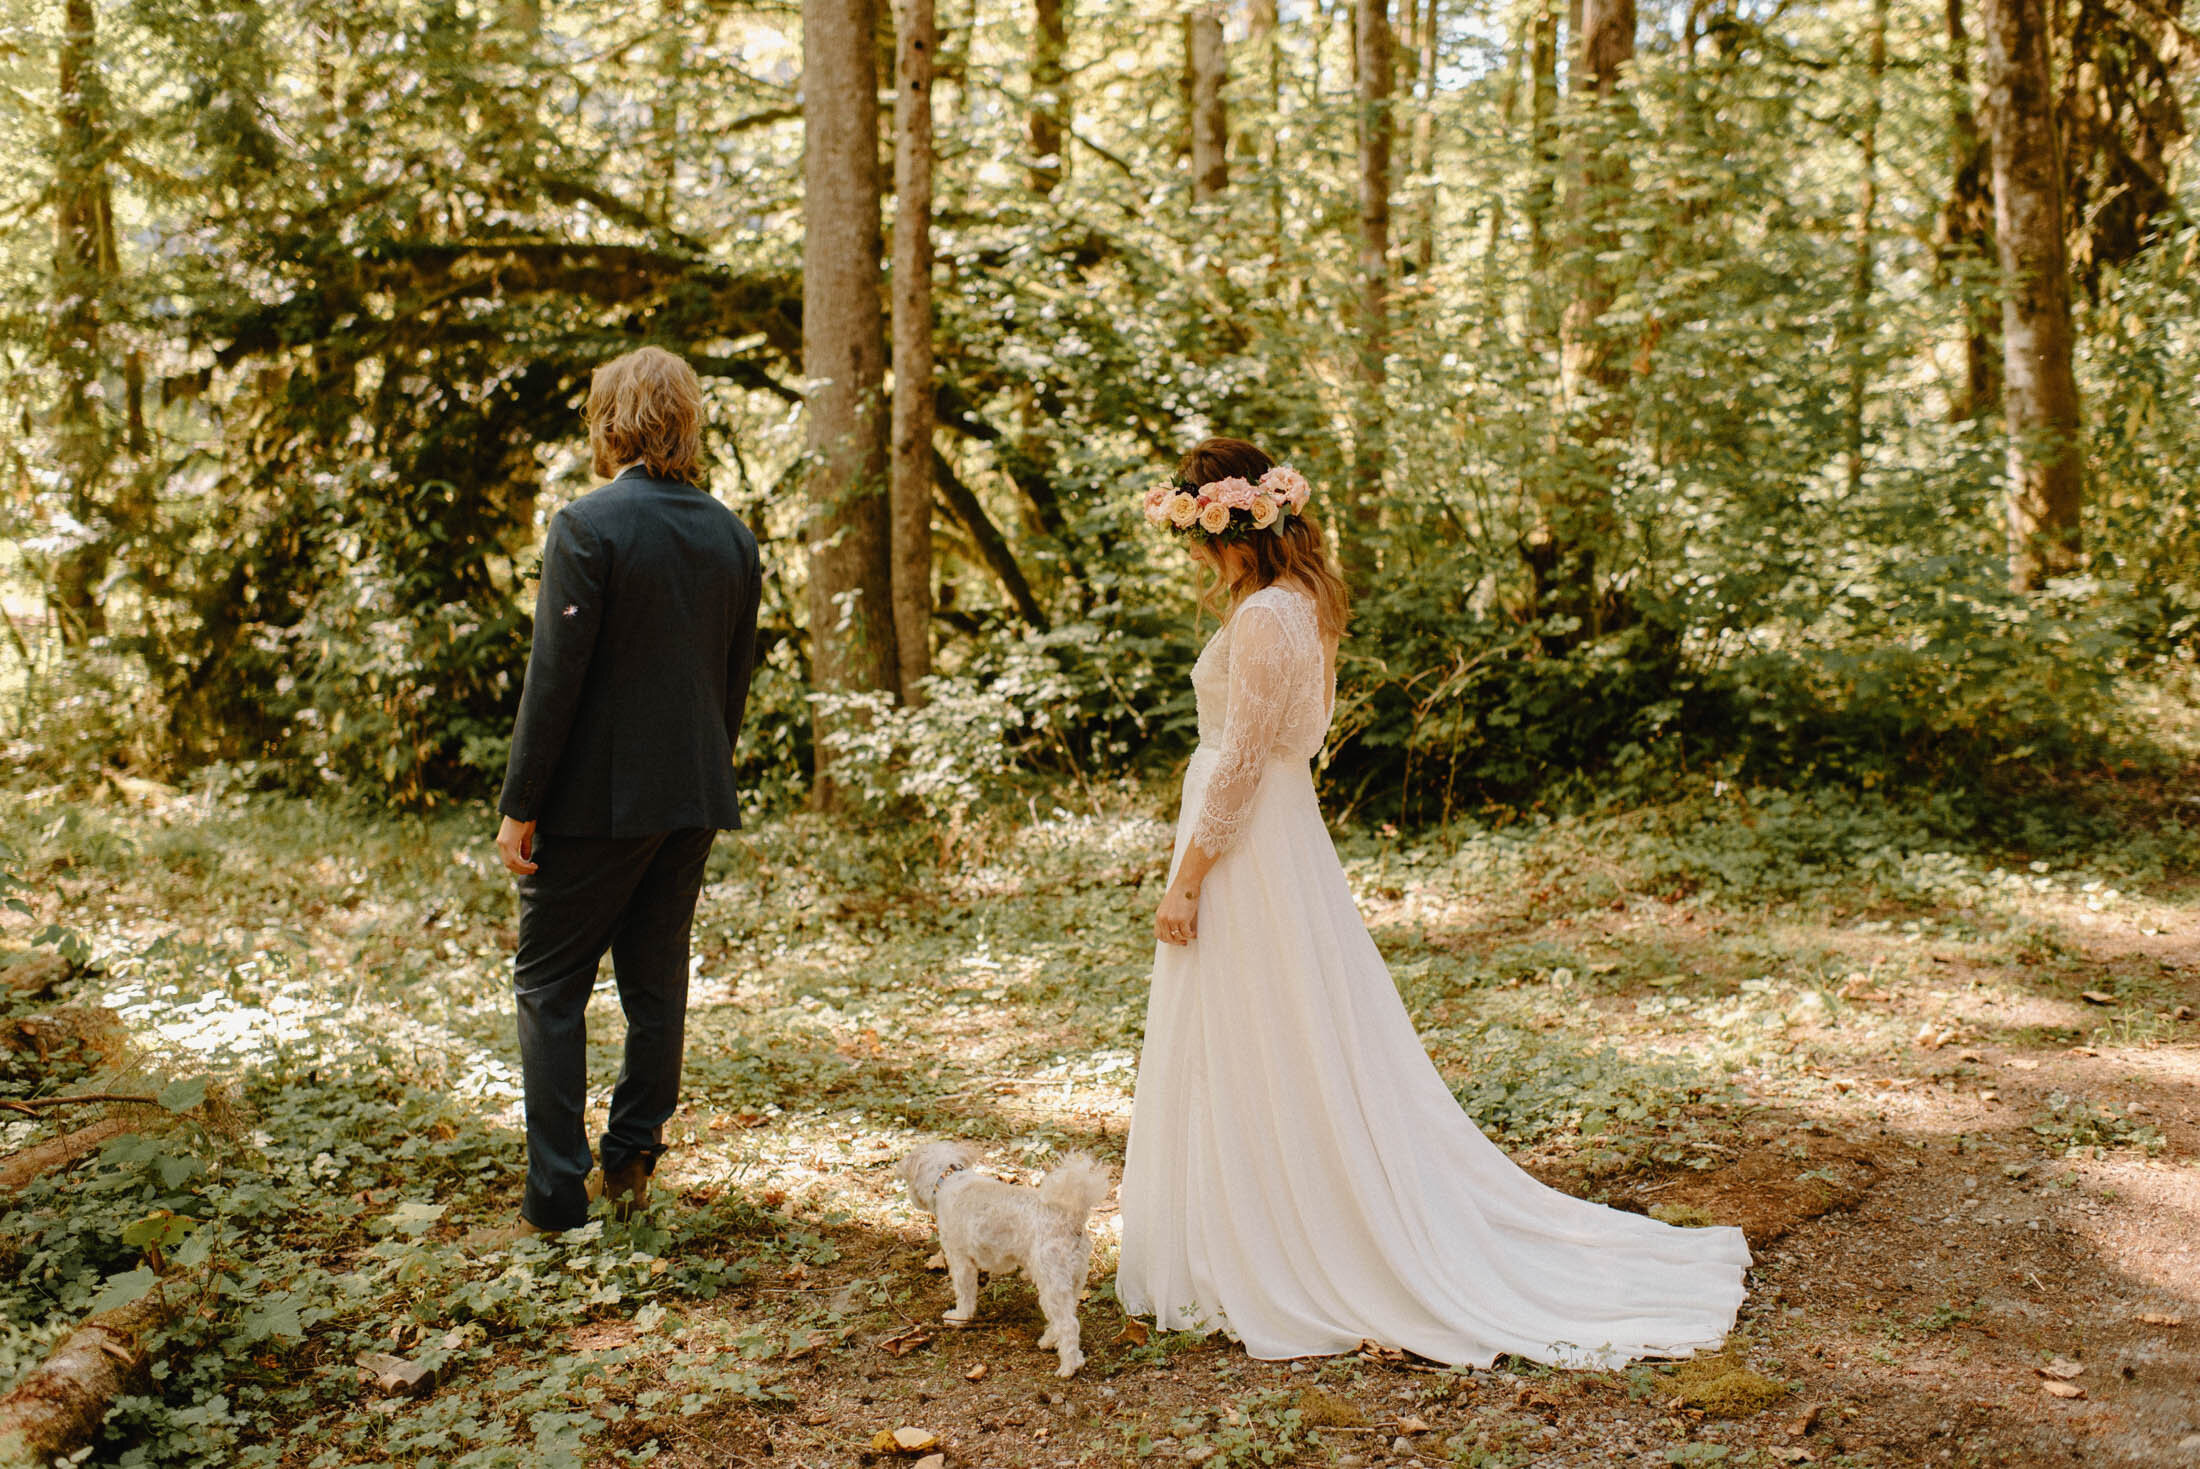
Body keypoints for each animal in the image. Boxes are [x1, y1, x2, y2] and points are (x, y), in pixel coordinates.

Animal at [888, 1143, 1108, 1381]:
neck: (948, 1178)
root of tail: (1070, 1217)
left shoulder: (960, 1259)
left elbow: (965, 1295)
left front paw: (959, 1318)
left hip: (1052, 1280)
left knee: (1069, 1325)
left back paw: (1069, 1367)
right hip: (1073, 1279)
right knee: (1063, 1318)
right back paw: (1050, 1341)